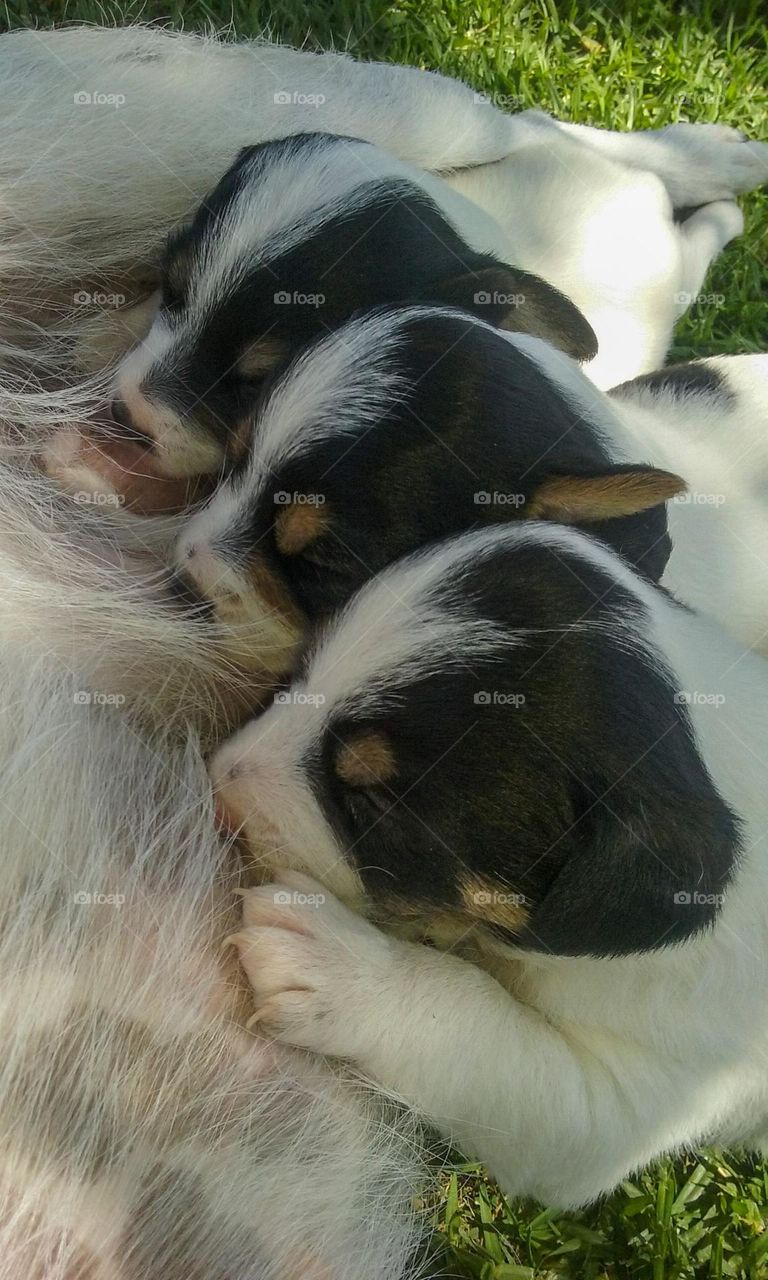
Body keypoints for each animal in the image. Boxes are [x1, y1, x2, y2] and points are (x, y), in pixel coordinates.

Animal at [209, 522, 768, 1208]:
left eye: (375, 802)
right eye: (296, 677)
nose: (215, 789)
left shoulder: (617, 1110)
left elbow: (477, 1029)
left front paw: (339, 967)